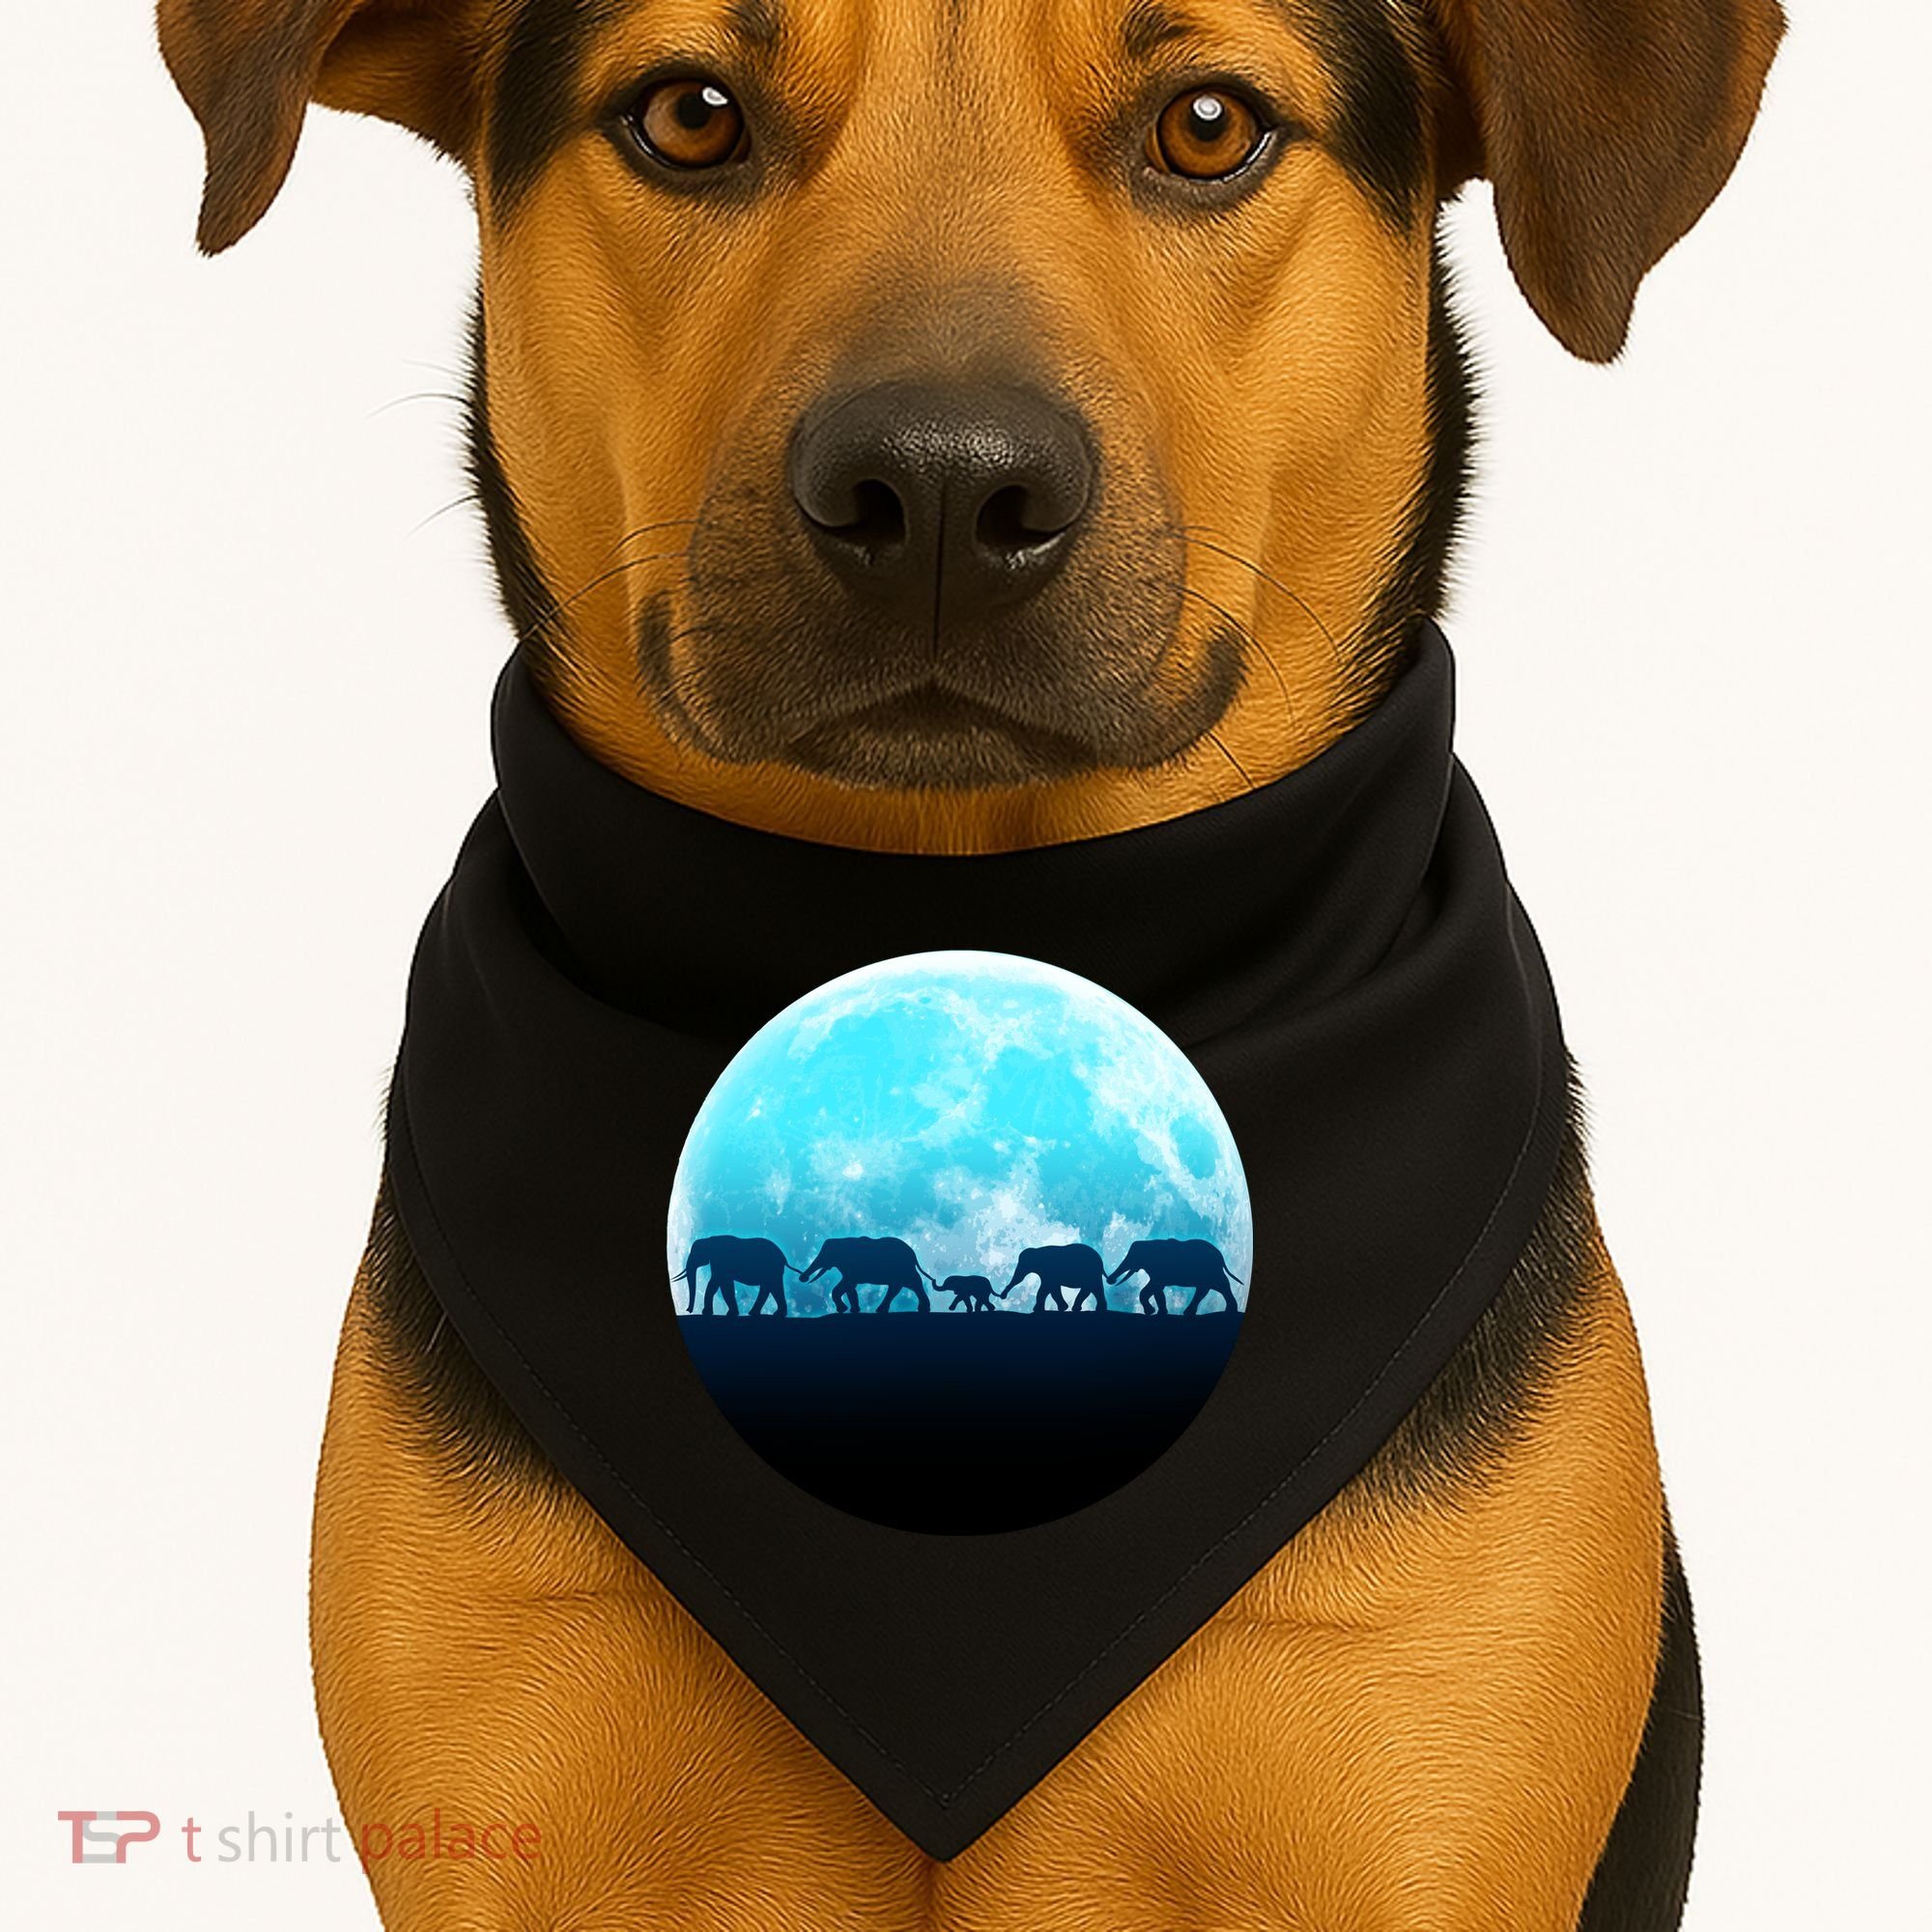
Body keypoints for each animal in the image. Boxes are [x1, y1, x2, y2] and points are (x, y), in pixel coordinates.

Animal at [673, 1234, 799, 1317]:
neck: (709, 1240)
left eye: (694, 1254)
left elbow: (718, 1283)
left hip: (772, 1269)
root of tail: (784, 1258)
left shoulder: (720, 1262)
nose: (688, 1310)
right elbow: (720, 1284)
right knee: (770, 1287)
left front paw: (725, 1314)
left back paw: (771, 1314)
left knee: (773, 1287)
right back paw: (761, 1314)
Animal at [797, 1236, 938, 1314]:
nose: (803, 1277)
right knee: (901, 1286)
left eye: (826, 1255)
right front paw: (852, 1310)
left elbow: (844, 1286)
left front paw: (843, 1309)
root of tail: (913, 1254)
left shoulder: (852, 1269)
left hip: (903, 1268)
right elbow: (849, 1288)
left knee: (912, 1283)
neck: (841, 1241)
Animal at [1107, 1238, 1242, 1316]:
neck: (1149, 1243)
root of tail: (1220, 1255)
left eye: (1133, 1257)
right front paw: (1160, 1313)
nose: (1110, 1280)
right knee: (1206, 1289)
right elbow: (1157, 1290)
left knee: (1221, 1286)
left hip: (1212, 1271)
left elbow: (1151, 1288)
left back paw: (1230, 1311)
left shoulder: (1160, 1271)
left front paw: (1150, 1312)